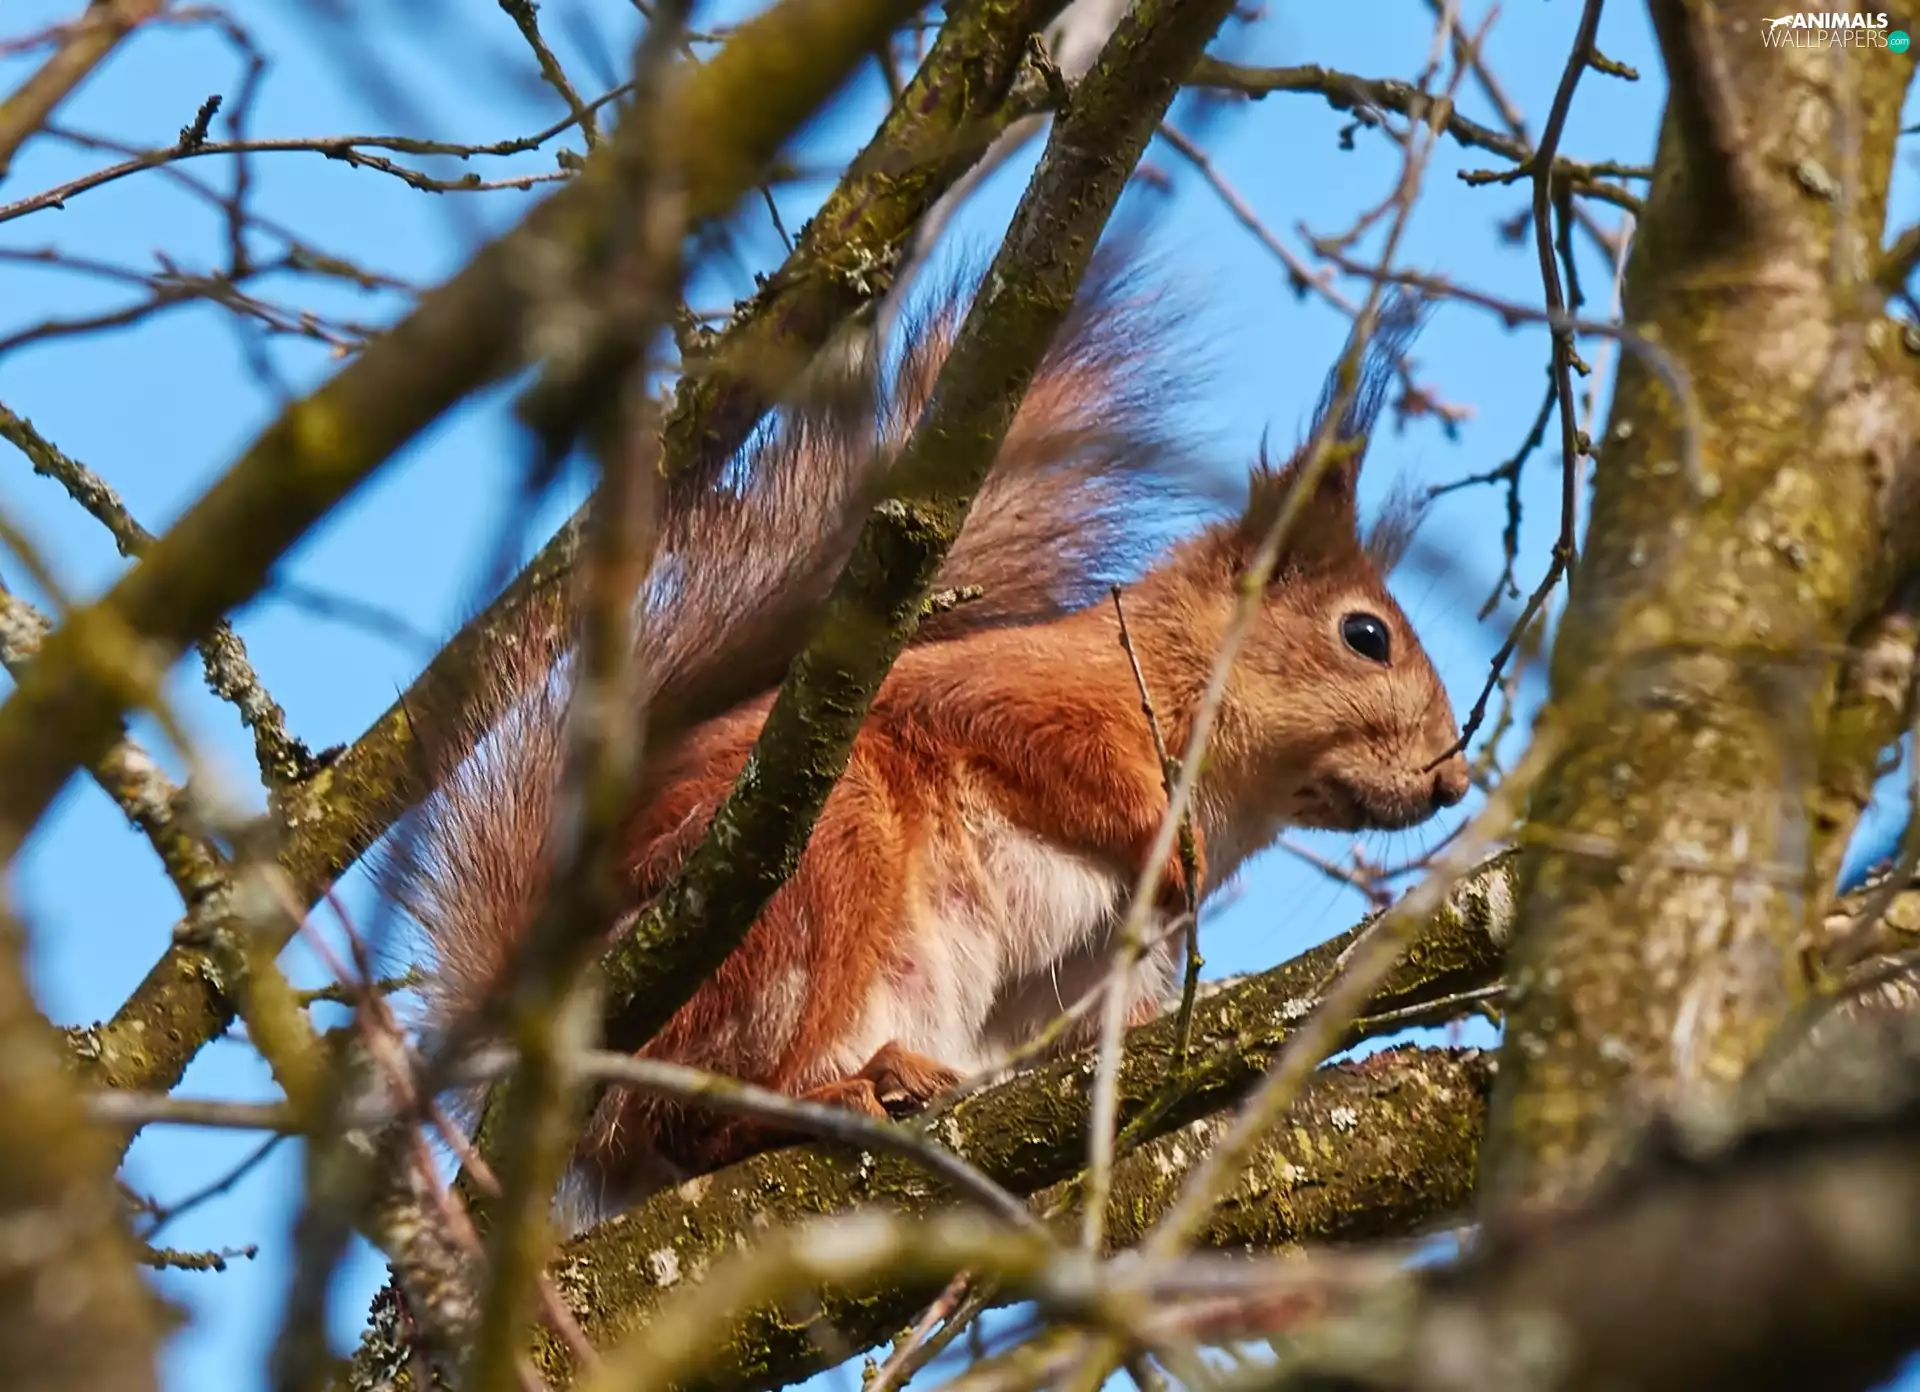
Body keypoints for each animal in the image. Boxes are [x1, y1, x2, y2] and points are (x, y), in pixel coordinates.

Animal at [397, 259, 1471, 1218]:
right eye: (1365, 636)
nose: (1453, 781)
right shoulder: (1034, 695)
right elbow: (1058, 760)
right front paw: (1176, 847)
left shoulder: (1106, 964)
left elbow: (1102, 1029)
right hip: (815, 867)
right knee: (683, 1124)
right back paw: (830, 1095)